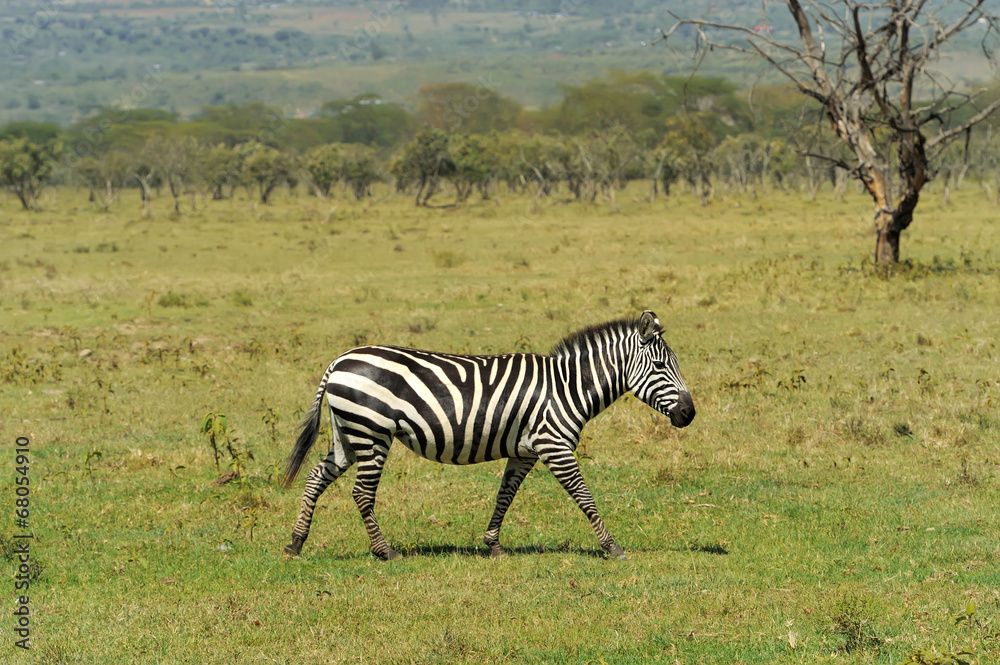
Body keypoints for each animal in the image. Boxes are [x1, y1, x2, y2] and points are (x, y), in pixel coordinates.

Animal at [282, 310, 695, 561]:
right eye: (660, 366)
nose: (689, 414)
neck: (567, 386)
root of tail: (339, 360)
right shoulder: (554, 445)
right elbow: (584, 496)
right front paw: (612, 547)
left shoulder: (525, 450)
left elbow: (504, 496)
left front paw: (493, 544)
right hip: (371, 432)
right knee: (362, 493)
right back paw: (385, 551)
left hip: (348, 433)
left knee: (316, 477)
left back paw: (296, 543)